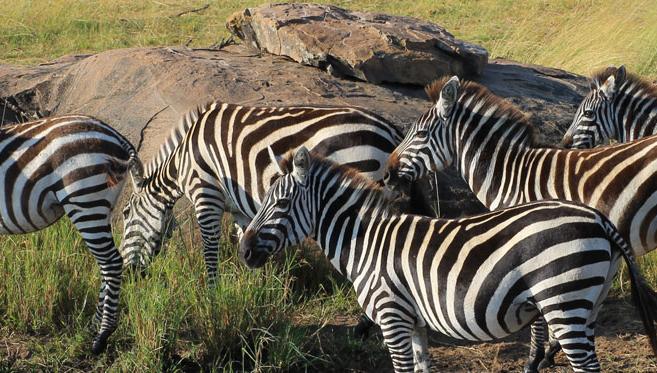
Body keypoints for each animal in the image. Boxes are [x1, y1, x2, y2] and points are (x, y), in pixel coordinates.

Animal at [0, 115, 141, 354]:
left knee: (111, 263)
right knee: (108, 264)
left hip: (84, 199)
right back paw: (93, 327)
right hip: (102, 206)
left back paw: (103, 335)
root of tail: (117, 137)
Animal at [120, 101, 438, 276]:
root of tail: (390, 129)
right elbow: (243, 238)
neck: (183, 158)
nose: (128, 273)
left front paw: (212, 293)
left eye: (124, 214)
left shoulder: (206, 195)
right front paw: (251, 286)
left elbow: (210, 249)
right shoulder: (239, 207)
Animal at [238, 146, 656, 372]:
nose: (243, 251)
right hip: (586, 301)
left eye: (280, 203)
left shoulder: (391, 316)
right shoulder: (414, 322)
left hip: (563, 298)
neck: (366, 243)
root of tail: (597, 218)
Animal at [384, 76, 657, 370]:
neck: (512, 175)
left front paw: (535, 358)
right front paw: (549, 350)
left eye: (421, 134)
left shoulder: (531, 249)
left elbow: (537, 319)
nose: (386, 174)